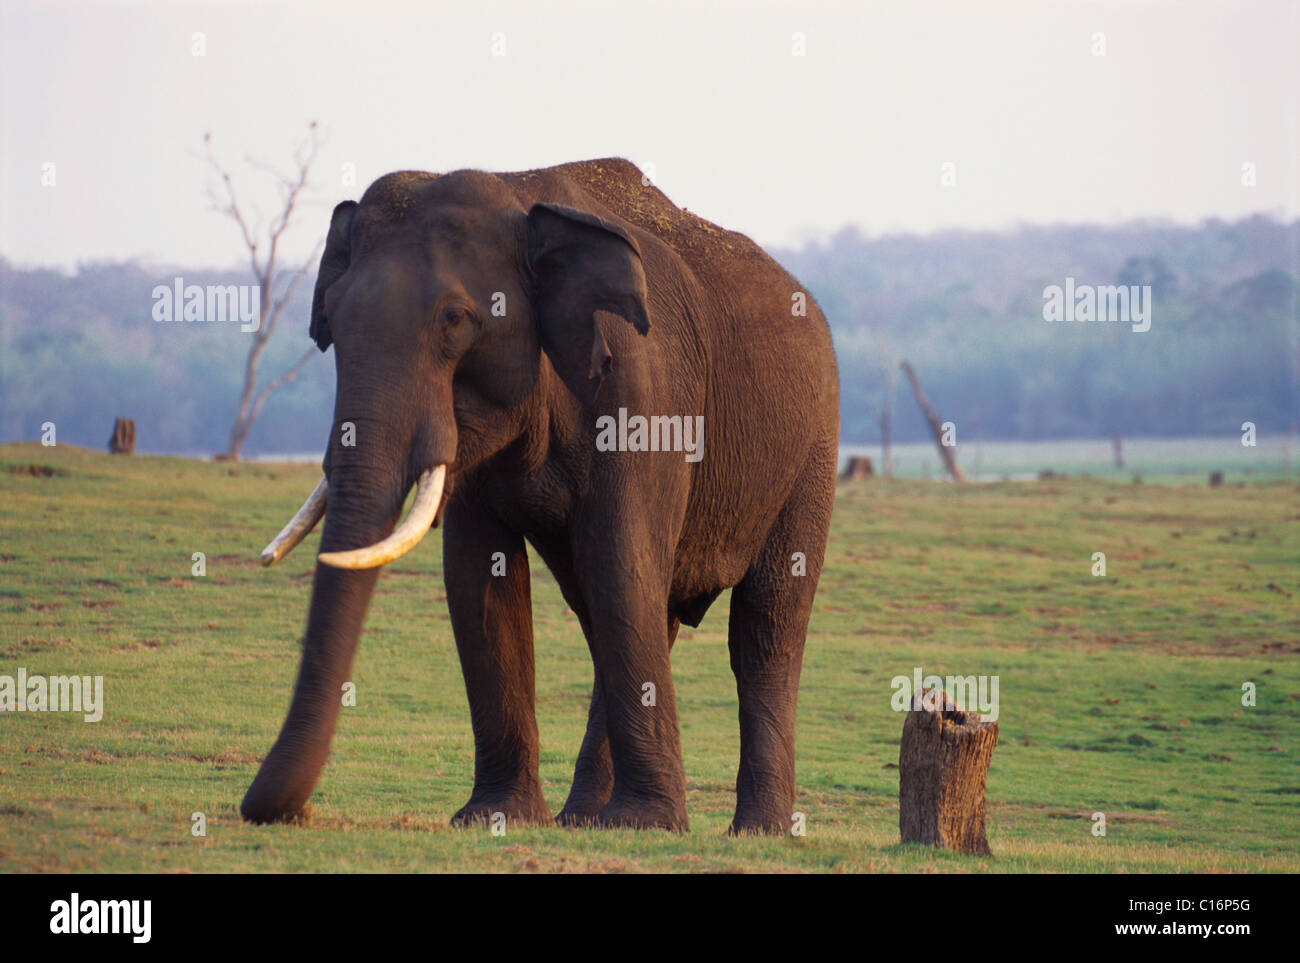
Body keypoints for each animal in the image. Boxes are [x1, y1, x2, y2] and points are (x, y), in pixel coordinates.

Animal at [239, 157, 837, 831]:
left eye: (454, 320)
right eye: (332, 324)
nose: (286, 814)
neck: (518, 192)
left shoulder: (643, 394)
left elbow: (620, 561)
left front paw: (647, 825)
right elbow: (479, 574)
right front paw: (492, 817)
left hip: (813, 448)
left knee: (765, 622)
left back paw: (755, 831)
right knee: (623, 612)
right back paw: (584, 819)